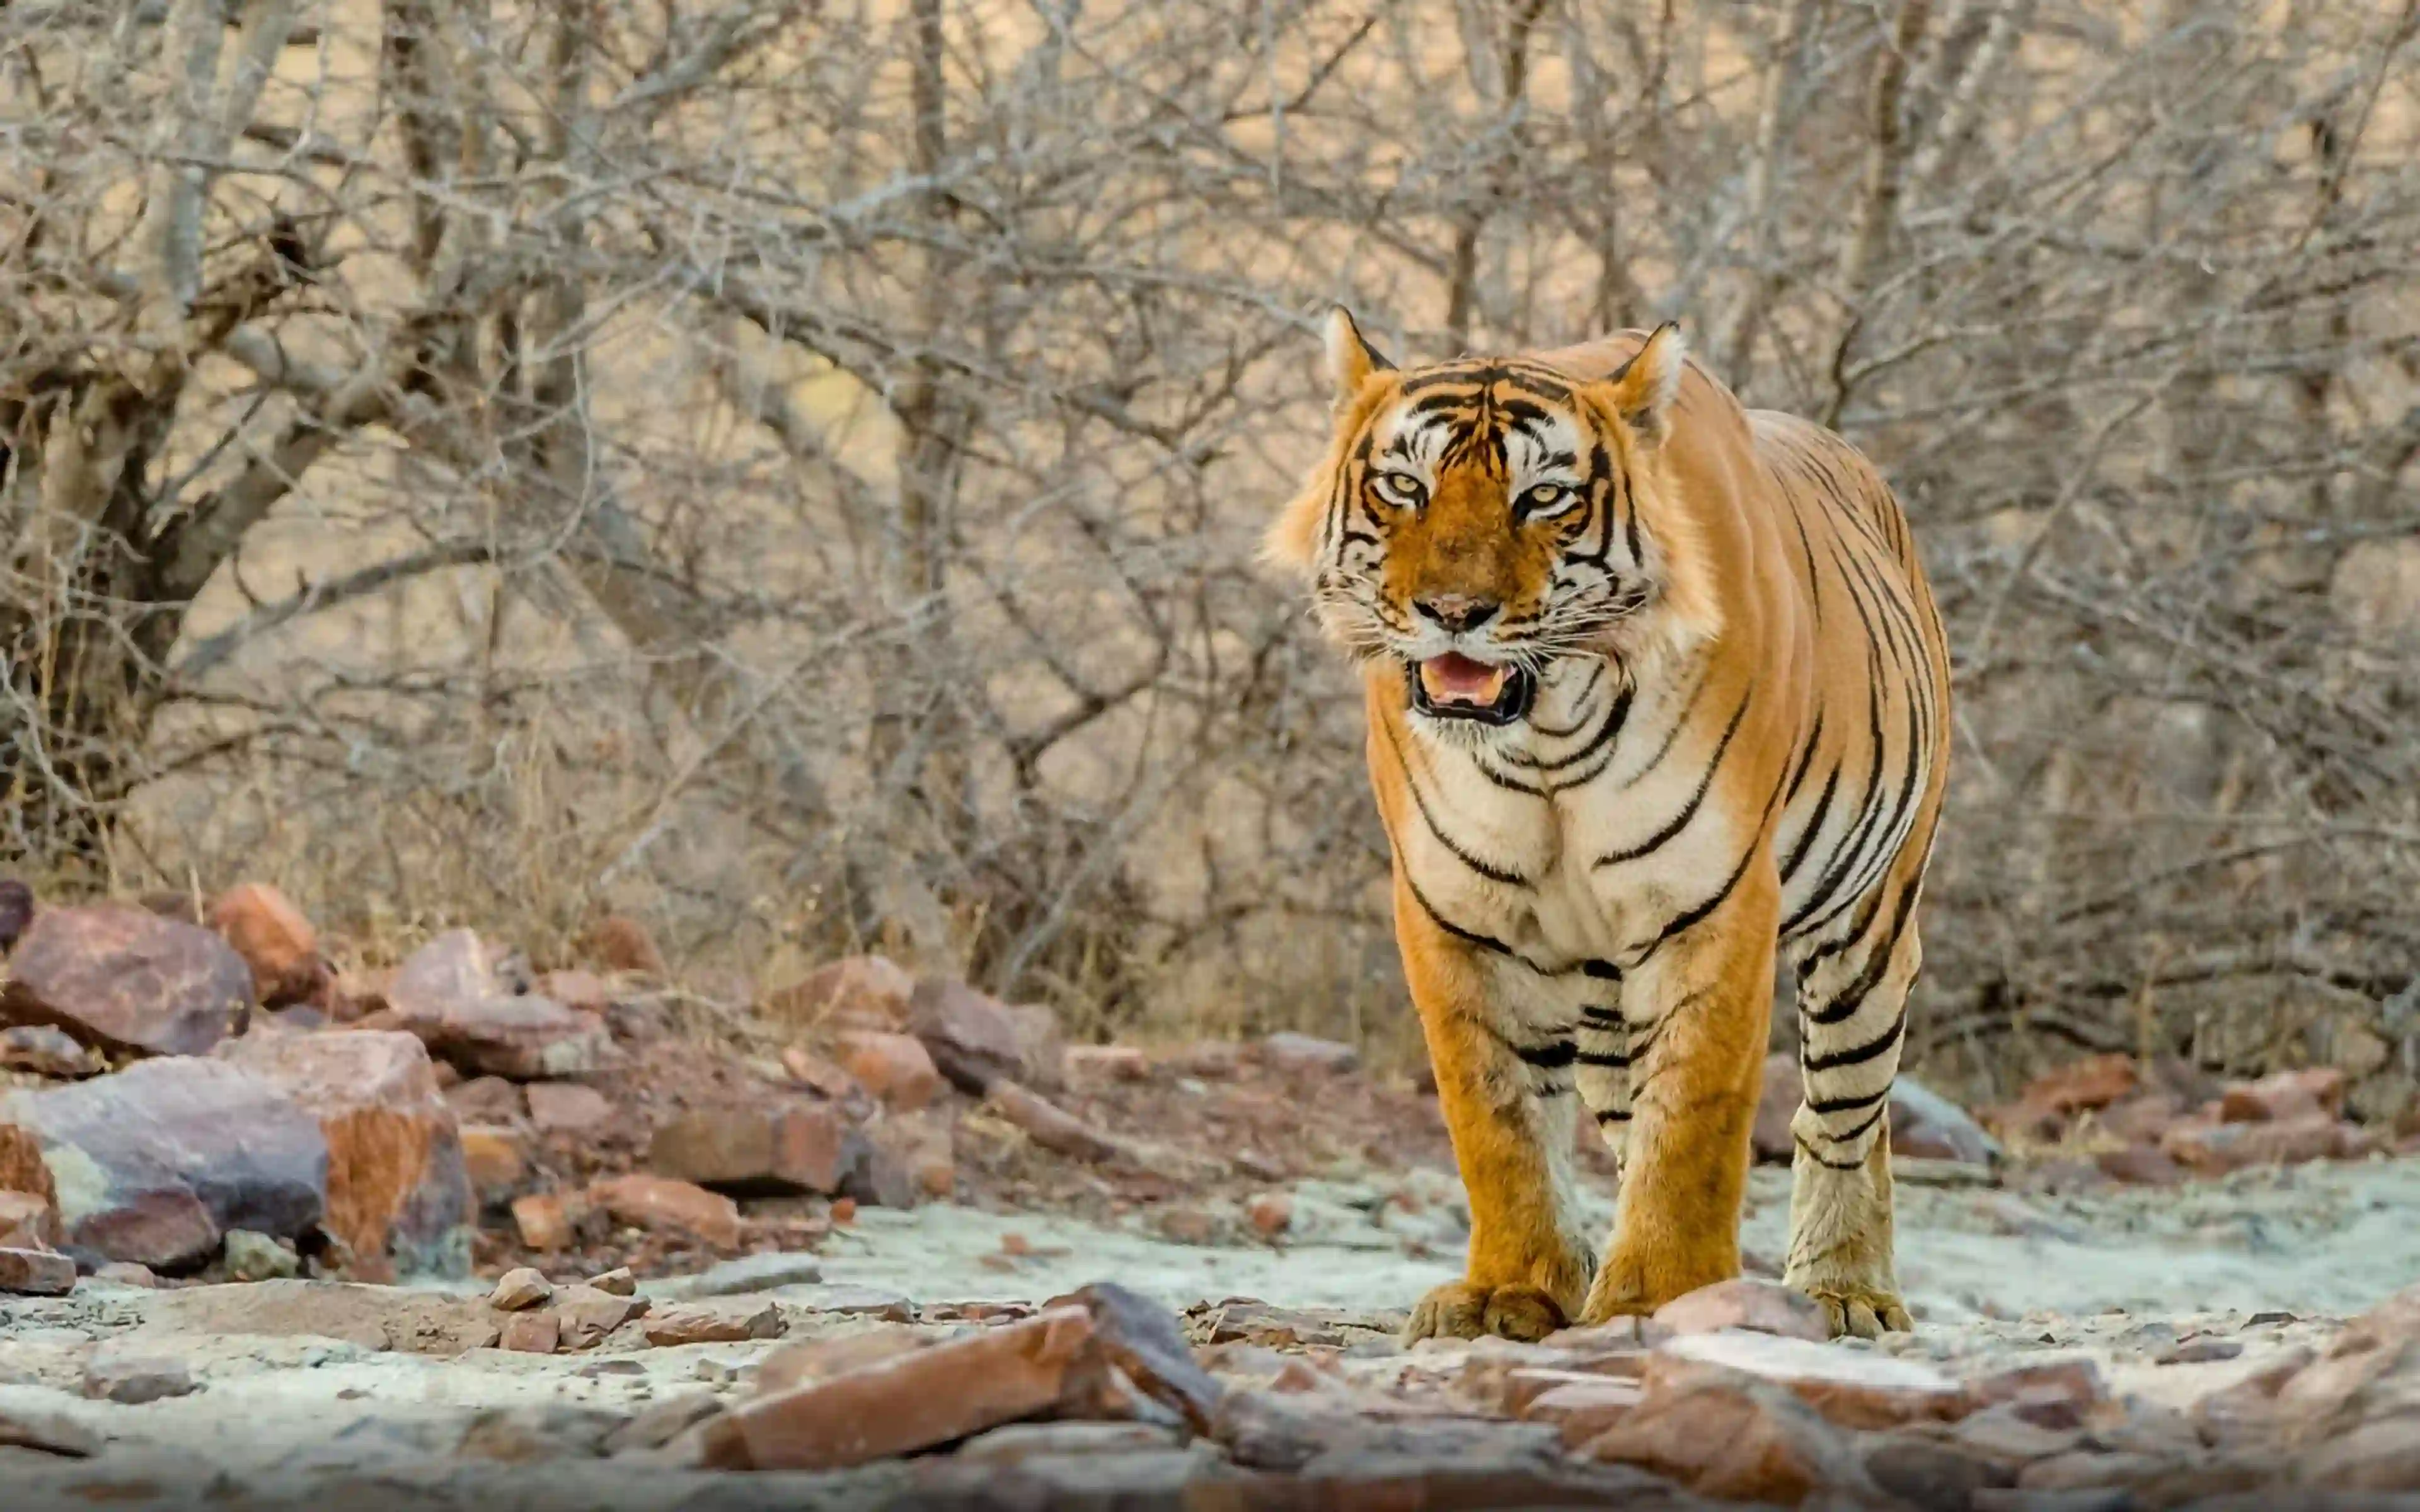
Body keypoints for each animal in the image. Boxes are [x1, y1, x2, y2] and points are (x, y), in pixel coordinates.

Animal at [1266, 311, 1951, 1341]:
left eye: (1544, 497)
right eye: (1405, 488)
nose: (1453, 613)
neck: (1547, 737)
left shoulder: (1713, 902)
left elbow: (1697, 1117)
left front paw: (1662, 1295)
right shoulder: (1456, 913)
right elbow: (1499, 1119)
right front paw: (1511, 1291)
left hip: (1869, 929)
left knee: (1843, 1116)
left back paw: (1846, 1290)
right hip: (1600, 993)